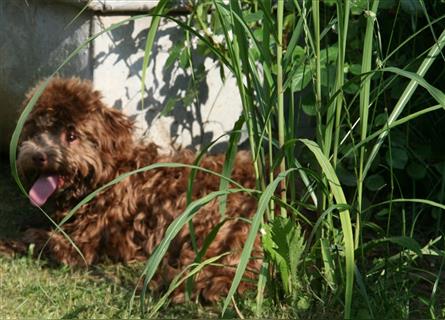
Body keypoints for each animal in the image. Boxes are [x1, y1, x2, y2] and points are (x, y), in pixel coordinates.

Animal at [16, 77, 260, 302]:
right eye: (36, 132)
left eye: (72, 135)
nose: (38, 156)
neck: (105, 178)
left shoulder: (84, 243)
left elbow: (46, 241)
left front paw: (23, 239)